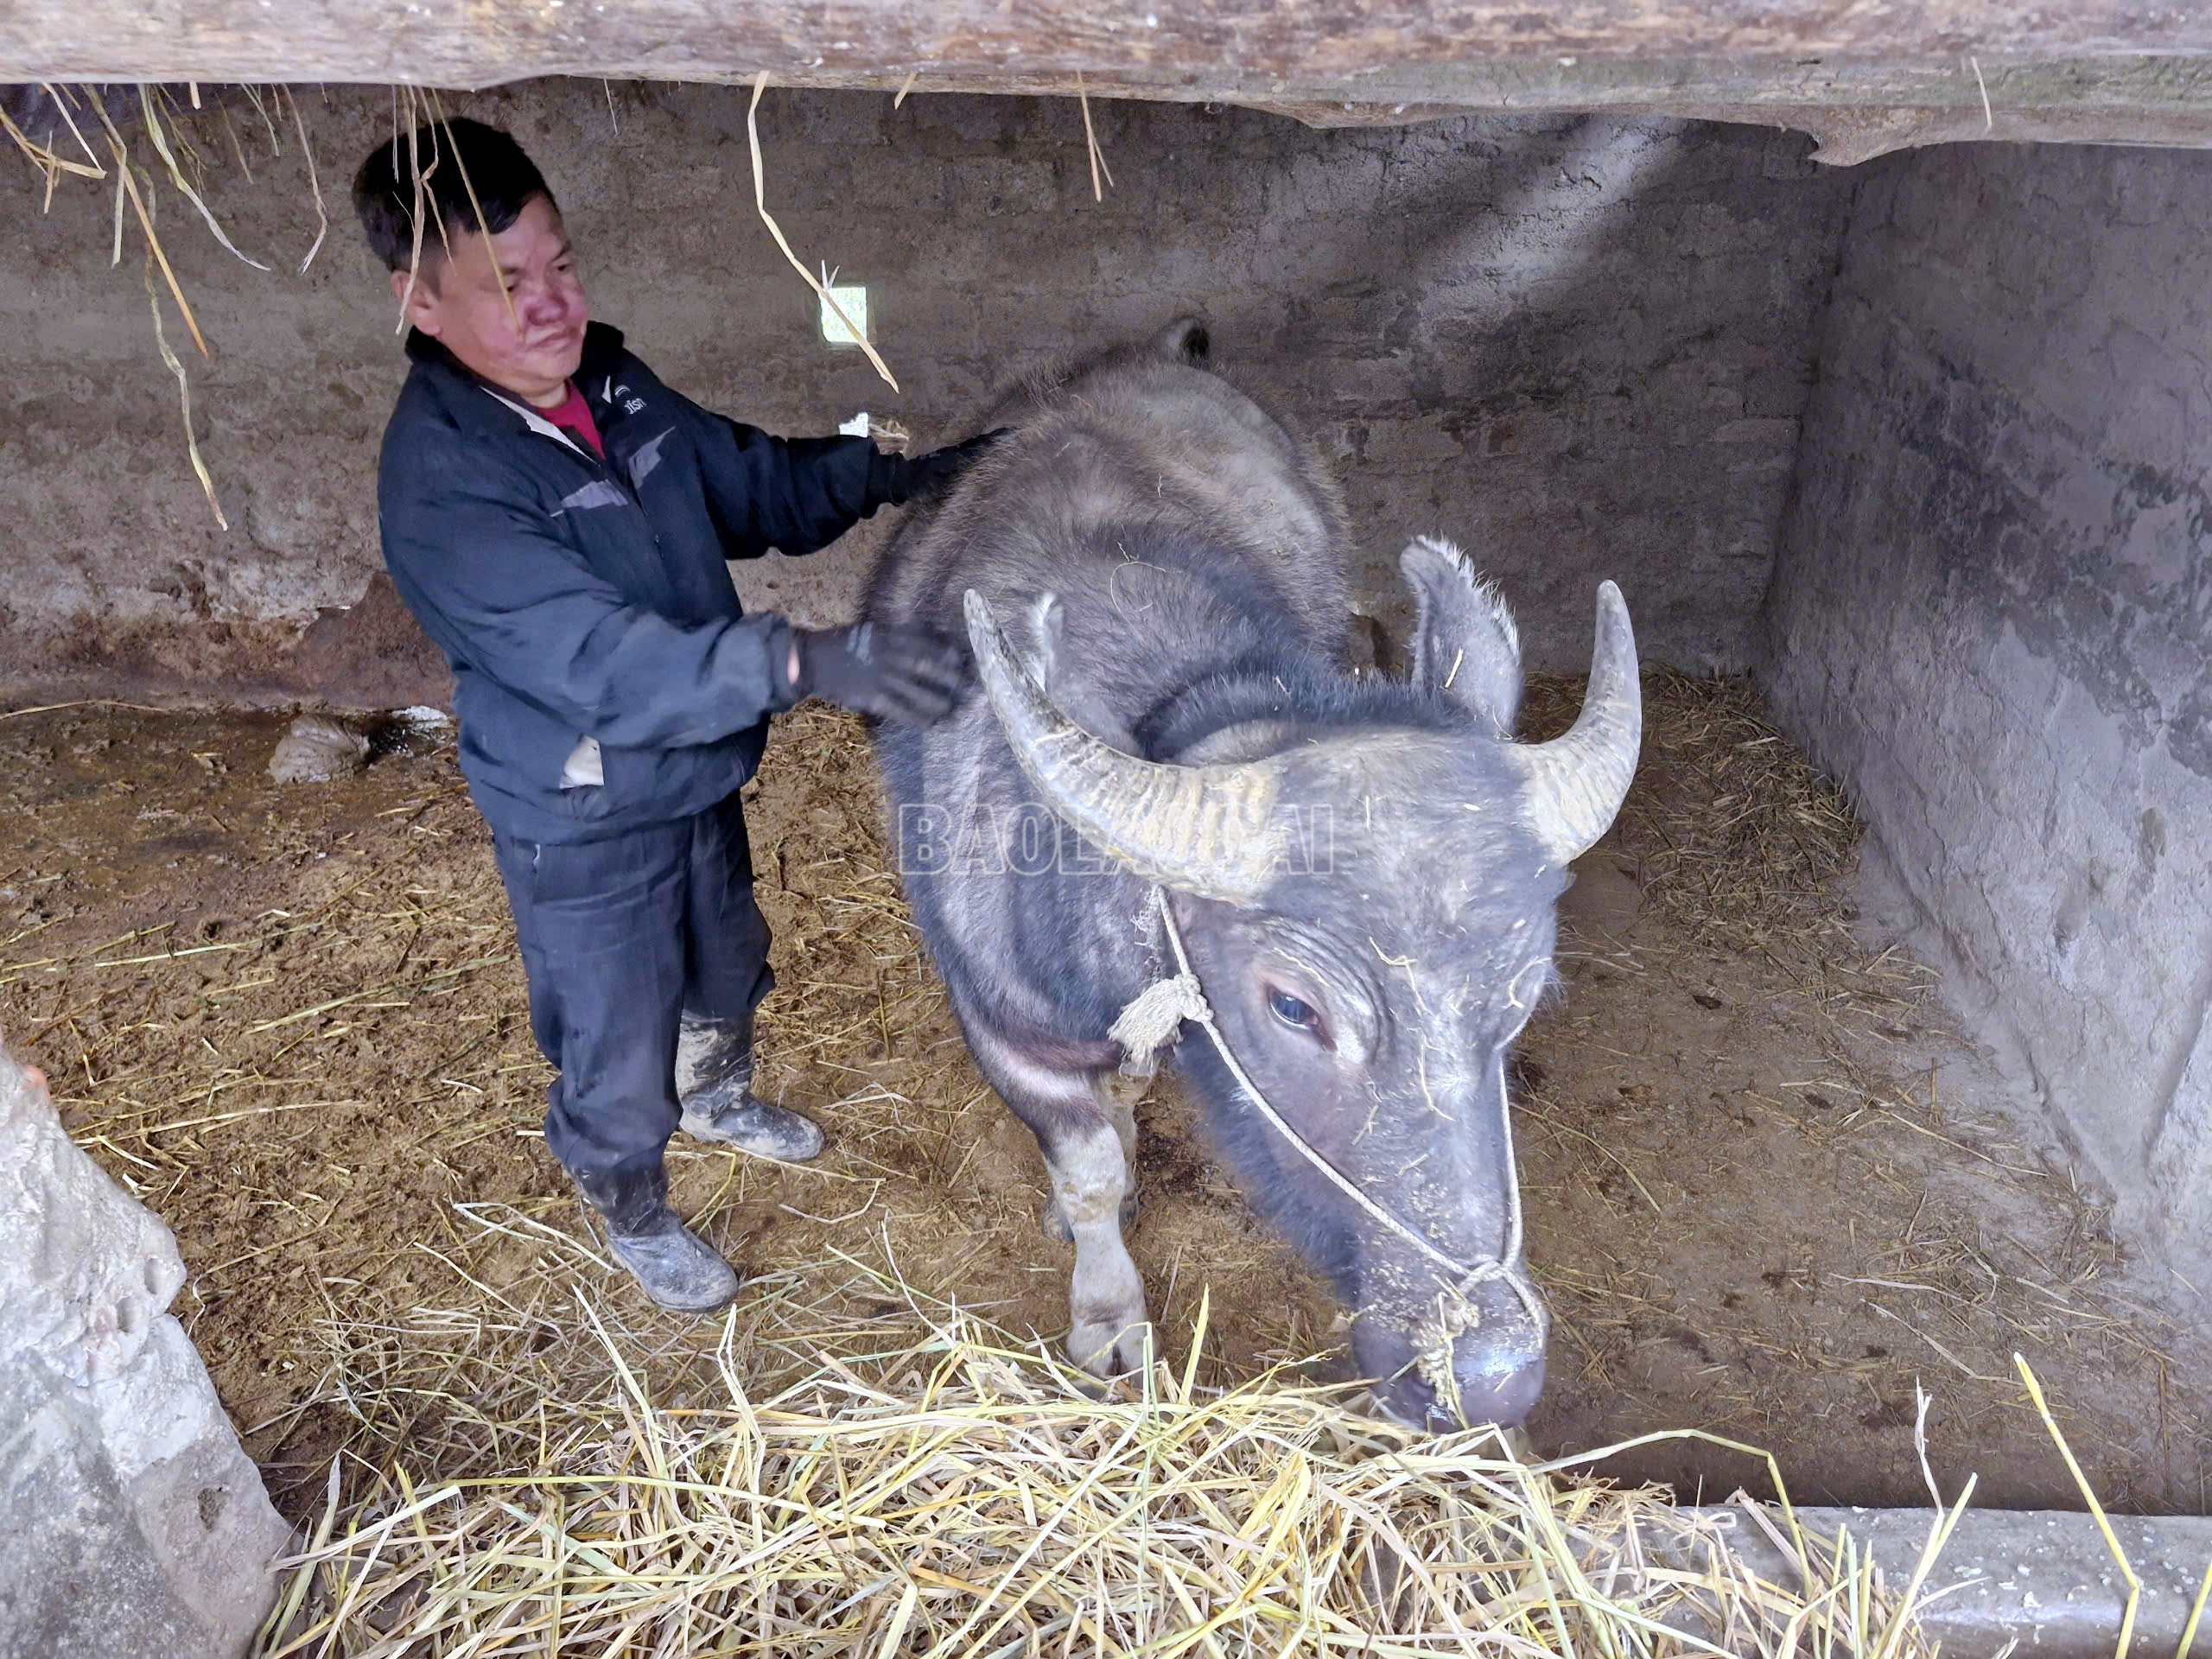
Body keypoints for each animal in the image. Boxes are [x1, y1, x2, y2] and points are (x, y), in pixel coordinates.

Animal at [867, 321, 1645, 1433]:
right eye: (1291, 1007)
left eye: (1523, 994)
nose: (1487, 1370)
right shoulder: (1003, 1031)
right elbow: (1093, 1172)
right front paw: (1107, 1315)